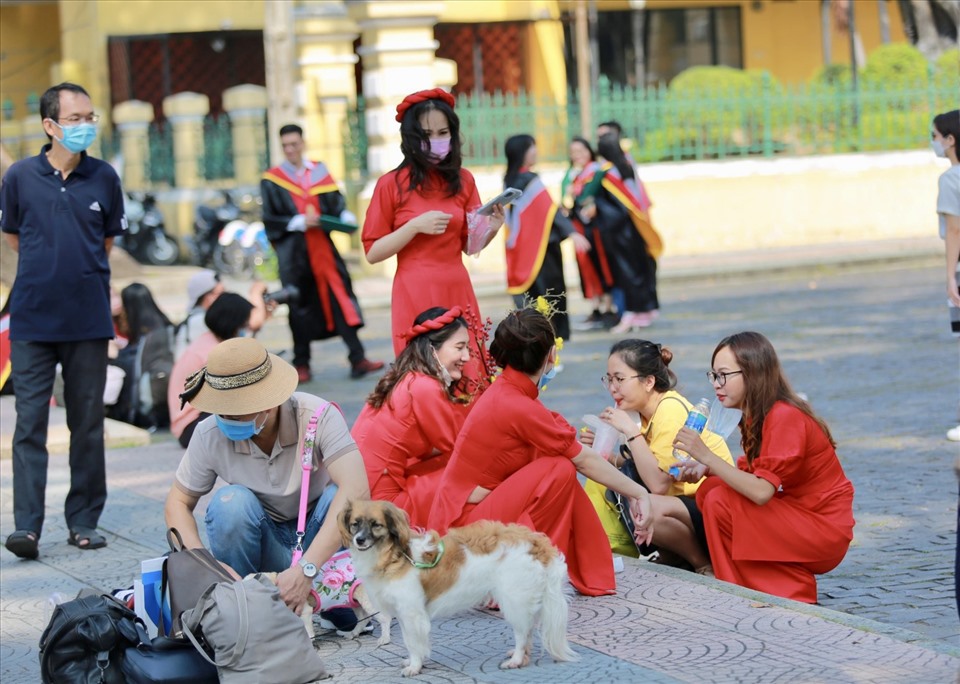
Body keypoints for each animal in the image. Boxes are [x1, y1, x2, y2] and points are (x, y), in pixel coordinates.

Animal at [338, 500, 576, 676]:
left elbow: (413, 642)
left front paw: (415, 666)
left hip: (513, 600)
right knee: (528, 630)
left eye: (376, 524)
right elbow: (409, 641)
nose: (359, 540)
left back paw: (517, 659)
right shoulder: (404, 614)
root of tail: (536, 542)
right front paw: (415, 661)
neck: (395, 555)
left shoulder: (412, 613)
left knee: (522, 632)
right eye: (355, 524)